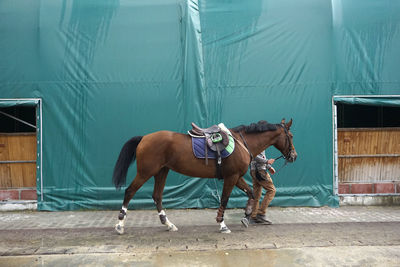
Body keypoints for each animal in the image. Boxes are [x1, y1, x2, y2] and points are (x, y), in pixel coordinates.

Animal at [112, 119, 296, 234]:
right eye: (291, 136)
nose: (294, 155)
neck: (241, 143)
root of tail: (144, 138)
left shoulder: (236, 177)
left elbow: (251, 193)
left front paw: (247, 215)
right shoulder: (231, 177)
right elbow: (224, 200)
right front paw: (222, 224)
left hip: (161, 171)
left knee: (157, 196)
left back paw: (168, 224)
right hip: (146, 172)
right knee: (130, 191)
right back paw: (120, 225)